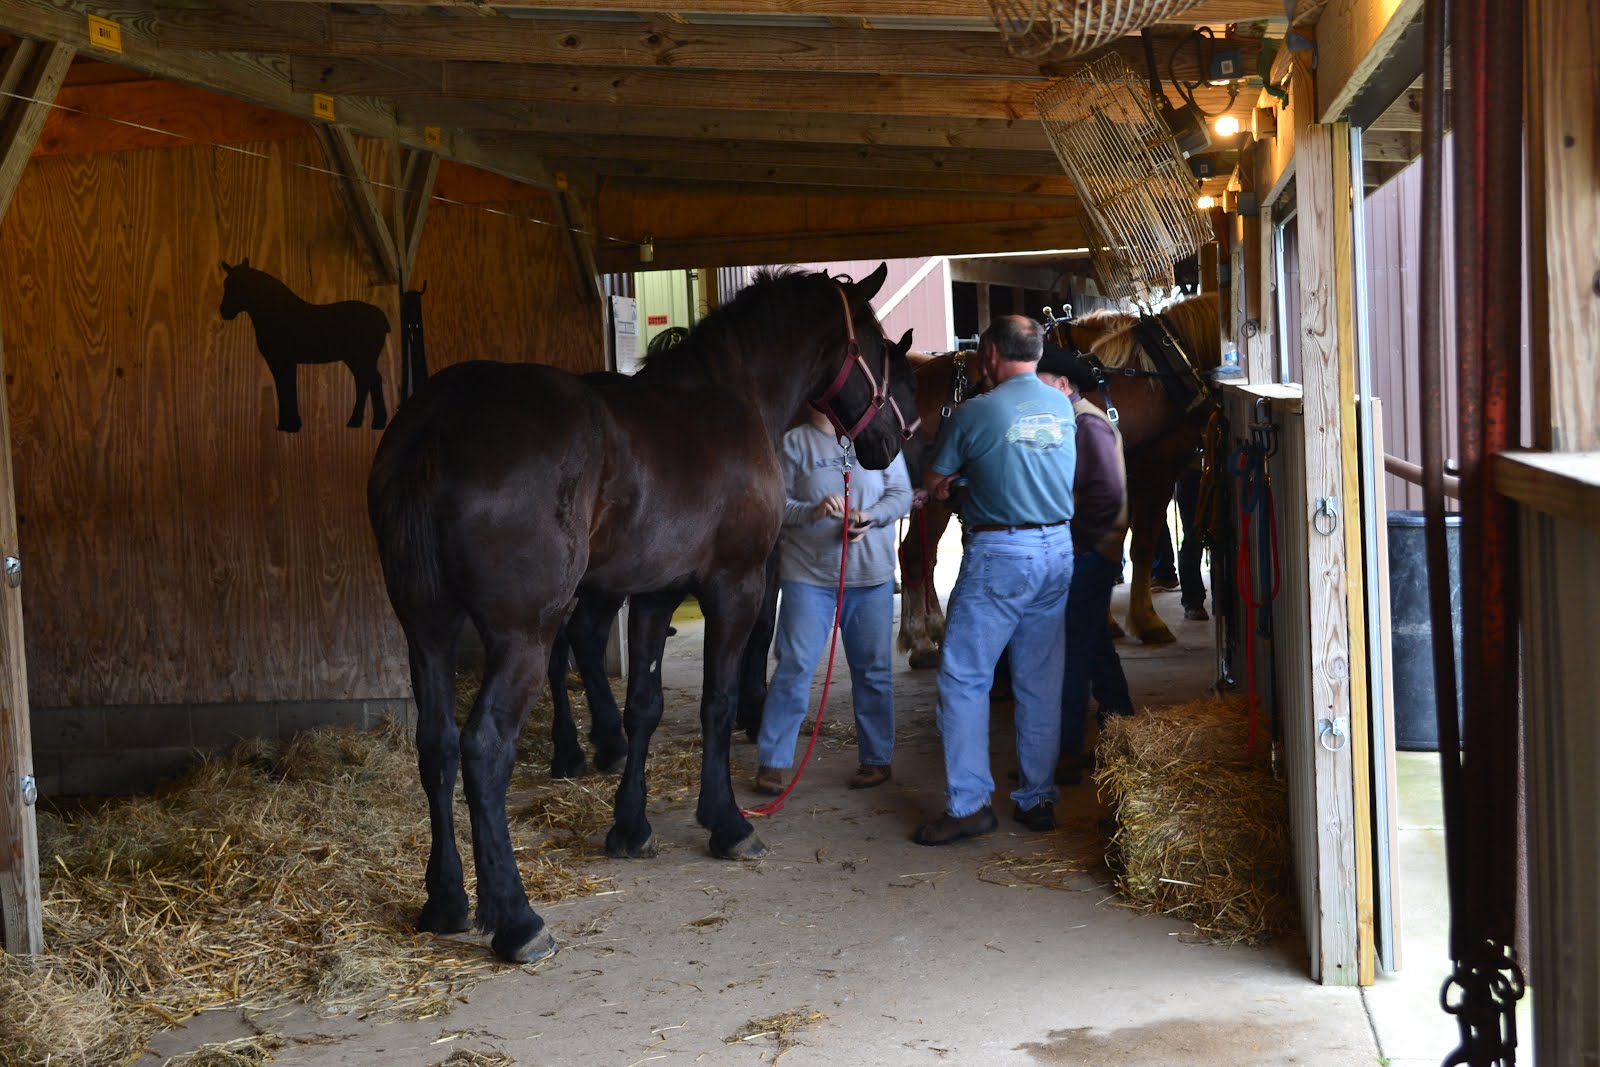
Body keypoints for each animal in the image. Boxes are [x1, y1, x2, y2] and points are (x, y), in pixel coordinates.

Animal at [219, 258, 390, 432]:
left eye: (243, 284)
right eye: (226, 284)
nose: (224, 312)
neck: (275, 314)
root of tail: (382, 317)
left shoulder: (285, 361)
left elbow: (288, 387)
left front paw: (291, 425)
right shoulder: (277, 362)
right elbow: (282, 388)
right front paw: (285, 425)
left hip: (363, 358)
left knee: (372, 380)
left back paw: (376, 422)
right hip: (355, 359)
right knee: (364, 381)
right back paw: (357, 422)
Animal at [367, 264, 918, 964]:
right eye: (879, 348)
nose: (891, 441)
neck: (733, 400)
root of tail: (437, 421)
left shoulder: (656, 594)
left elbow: (645, 708)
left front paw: (630, 826)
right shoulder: (735, 587)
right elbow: (717, 702)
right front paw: (728, 824)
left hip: (427, 631)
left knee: (435, 745)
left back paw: (445, 902)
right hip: (522, 636)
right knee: (485, 748)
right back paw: (518, 918)